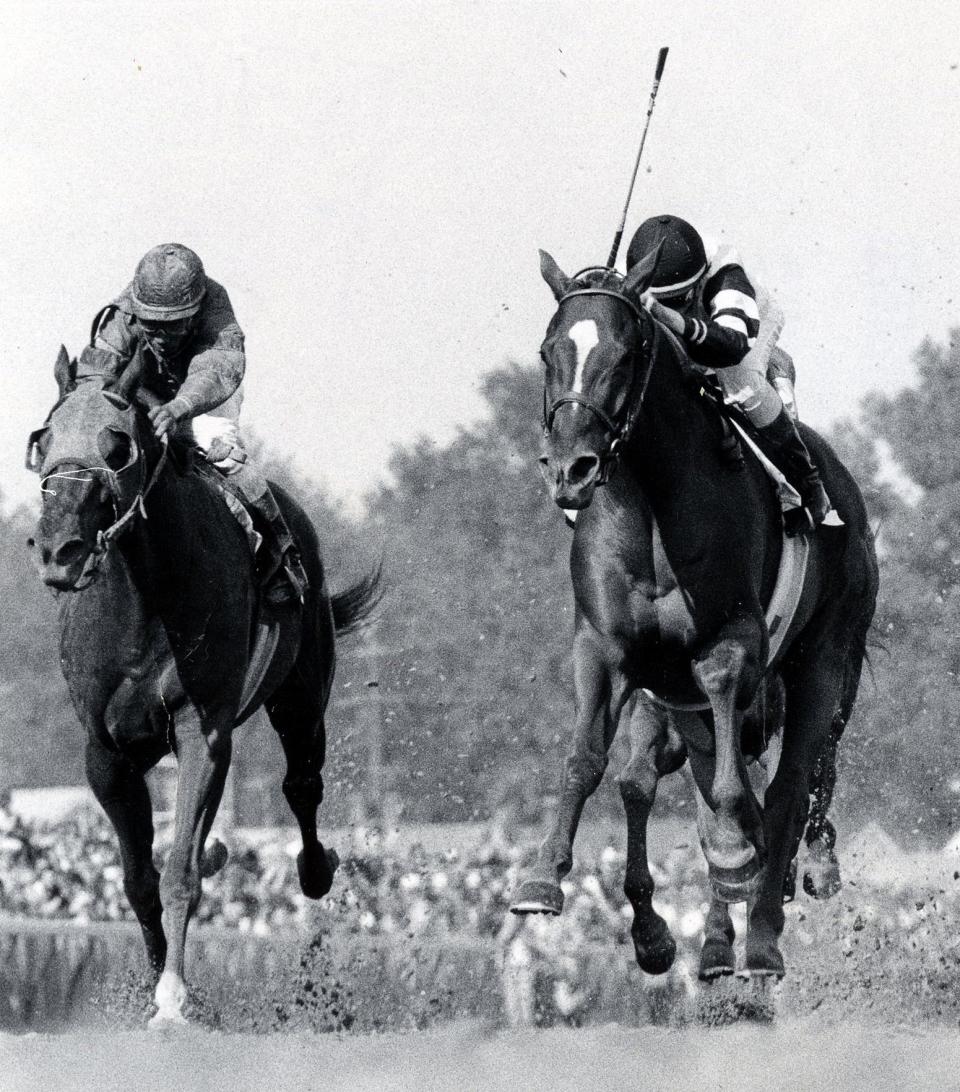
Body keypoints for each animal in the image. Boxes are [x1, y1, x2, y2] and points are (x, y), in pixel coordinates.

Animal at [27, 349, 380, 1022]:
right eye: (44, 440)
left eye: (117, 446)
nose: (60, 551)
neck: (144, 599)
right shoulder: (106, 753)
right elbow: (139, 879)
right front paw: (154, 978)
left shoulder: (202, 729)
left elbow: (177, 872)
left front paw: (171, 997)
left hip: (301, 692)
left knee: (301, 783)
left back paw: (314, 867)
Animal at [511, 251, 878, 978]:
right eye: (547, 350)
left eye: (626, 354)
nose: (571, 469)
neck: (654, 505)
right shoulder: (605, 648)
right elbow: (592, 762)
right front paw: (545, 880)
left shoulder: (729, 646)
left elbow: (740, 797)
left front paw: (742, 869)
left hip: (828, 660)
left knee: (794, 783)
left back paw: (764, 931)